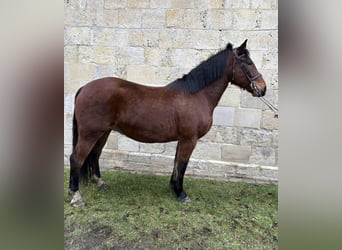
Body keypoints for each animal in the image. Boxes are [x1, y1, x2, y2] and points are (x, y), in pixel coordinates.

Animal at [68, 39, 266, 207]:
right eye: (248, 63)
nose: (263, 88)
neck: (196, 95)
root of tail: (84, 87)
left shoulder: (183, 139)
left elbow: (177, 163)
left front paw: (173, 188)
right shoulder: (189, 139)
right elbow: (183, 165)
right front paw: (181, 194)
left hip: (104, 132)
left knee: (94, 155)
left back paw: (99, 183)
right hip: (90, 134)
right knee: (77, 158)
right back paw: (76, 196)